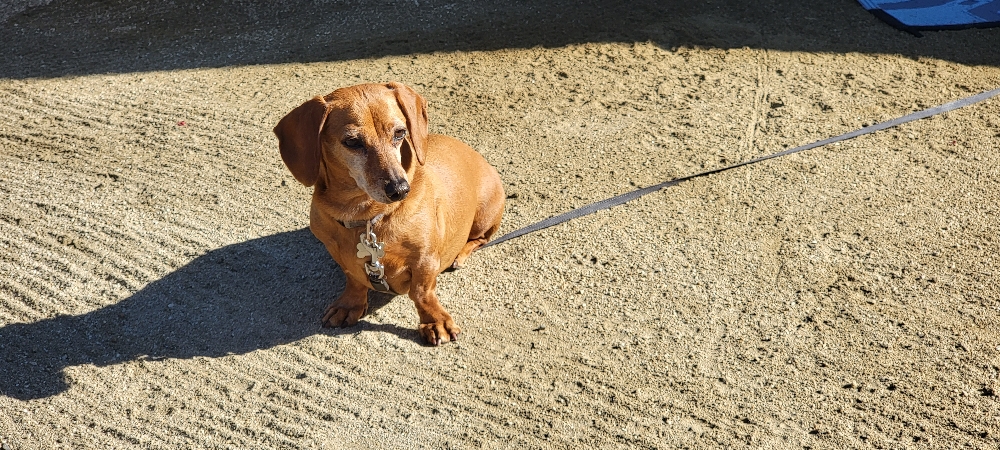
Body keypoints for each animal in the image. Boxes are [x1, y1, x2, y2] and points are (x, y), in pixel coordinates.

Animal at [274, 82, 505, 345]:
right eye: (352, 142)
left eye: (400, 133)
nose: (400, 189)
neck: (367, 217)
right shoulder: (339, 253)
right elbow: (354, 279)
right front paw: (349, 304)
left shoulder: (425, 260)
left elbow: (422, 293)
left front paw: (435, 321)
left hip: (485, 215)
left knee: (480, 239)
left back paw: (460, 255)